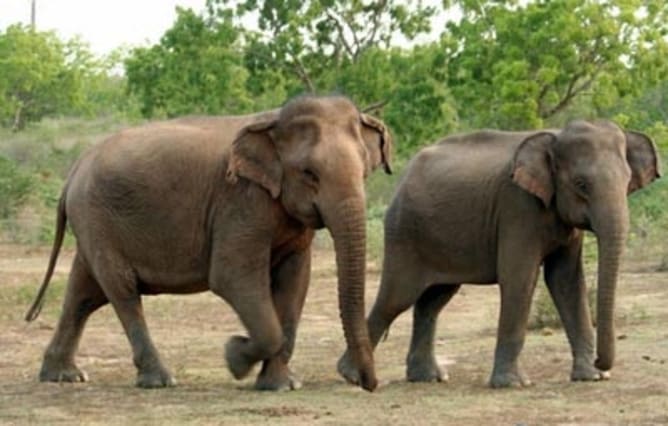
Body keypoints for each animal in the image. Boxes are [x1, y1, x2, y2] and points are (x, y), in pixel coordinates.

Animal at [26, 95, 392, 392]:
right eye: (309, 174)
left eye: (364, 171)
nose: (368, 384)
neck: (274, 120)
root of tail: (74, 170)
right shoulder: (240, 201)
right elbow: (232, 277)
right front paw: (234, 357)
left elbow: (294, 283)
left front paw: (281, 386)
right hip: (97, 218)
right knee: (122, 291)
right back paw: (159, 380)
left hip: (93, 223)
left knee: (84, 293)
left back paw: (64, 377)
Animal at [336, 119, 660, 386]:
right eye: (581, 184)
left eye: (627, 181)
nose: (601, 363)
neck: (555, 135)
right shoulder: (517, 206)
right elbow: (520, 278)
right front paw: (514, 384)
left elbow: (566, 281)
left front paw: (590, 377)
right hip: (405, 232)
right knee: (397, 297)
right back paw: (351, 375)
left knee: (434, 299)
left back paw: (429, 377)